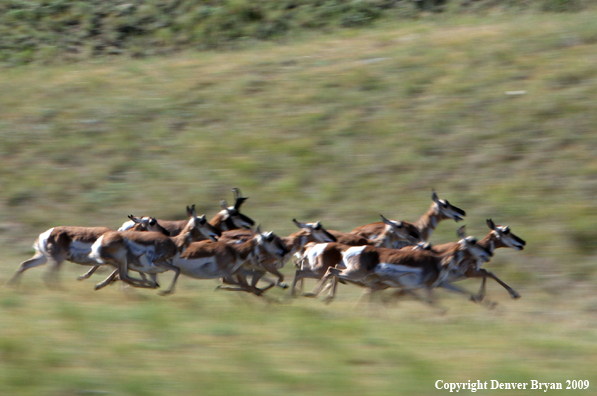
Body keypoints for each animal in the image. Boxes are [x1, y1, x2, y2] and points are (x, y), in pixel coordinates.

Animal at [5, 215, 170, 286]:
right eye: (152, 222)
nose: (167, 232)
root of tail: (47, 233)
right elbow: (121, 273)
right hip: (56, 260)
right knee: (48, 275)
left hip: (43, 258)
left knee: (25, 265)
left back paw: (12, 285)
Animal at [87, 207, 220, 294]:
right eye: (202, 221)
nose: (217, 233)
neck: (175, 243)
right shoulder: (156, 263)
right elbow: (176, 270)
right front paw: (165, 291)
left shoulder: (152, 270)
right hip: (123, 260)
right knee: (123, 275)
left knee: (121, 275)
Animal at [304, 226, 492, 304]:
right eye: (473, 241)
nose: (488, 254)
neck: (439, 260)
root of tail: (352, 249)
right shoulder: (424, 286)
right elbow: (431, 301)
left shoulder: (434, 285)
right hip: (354, 274)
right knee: (332, 271)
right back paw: (316, 295)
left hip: (354, 273)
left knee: (332, 271)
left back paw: (318, 296)